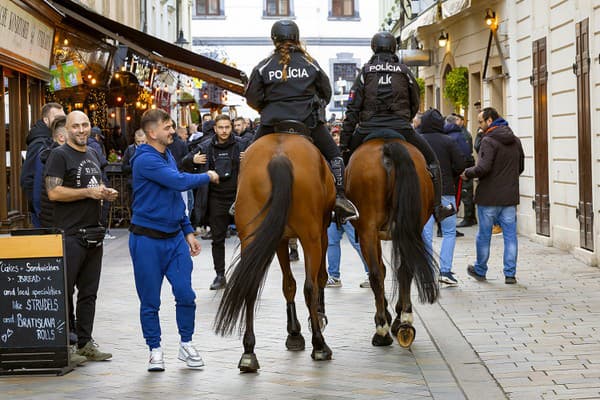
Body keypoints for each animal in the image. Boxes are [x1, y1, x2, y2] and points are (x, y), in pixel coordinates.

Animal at [214, 132, 338, 372]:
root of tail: (279, 157)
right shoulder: (322, 232)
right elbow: (318, 278)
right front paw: (316, 318)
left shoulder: (279, 239)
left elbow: (288, 284)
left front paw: (294, 333)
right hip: (311, 236)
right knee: (310, 286)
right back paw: (320, 345)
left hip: (253, 234)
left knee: (250, 285)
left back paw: (248, 353)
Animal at [344, 139, 438, 348]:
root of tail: (388, 146)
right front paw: (396, 317)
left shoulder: (371, 233)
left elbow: (381, 269)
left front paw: (386, 317)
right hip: (409, 227)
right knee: (405, 269)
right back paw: (405, 321)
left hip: (367, 229)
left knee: (376, 274)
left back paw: (382, 330)